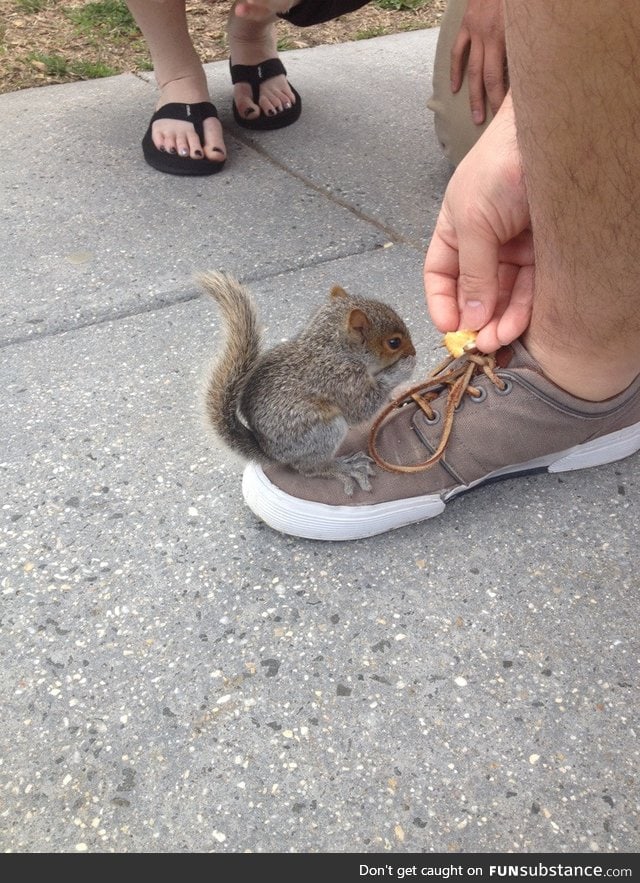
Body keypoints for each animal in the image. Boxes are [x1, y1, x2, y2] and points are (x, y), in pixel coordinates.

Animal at [201, 272, 420, 494]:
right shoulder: (342, 381)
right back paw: (344, 467)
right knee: (309, 469)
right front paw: (404, 368)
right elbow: (362, 408)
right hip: (323, 431)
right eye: (394, 343)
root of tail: (272, 453)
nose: (414, 351)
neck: (337, 350)